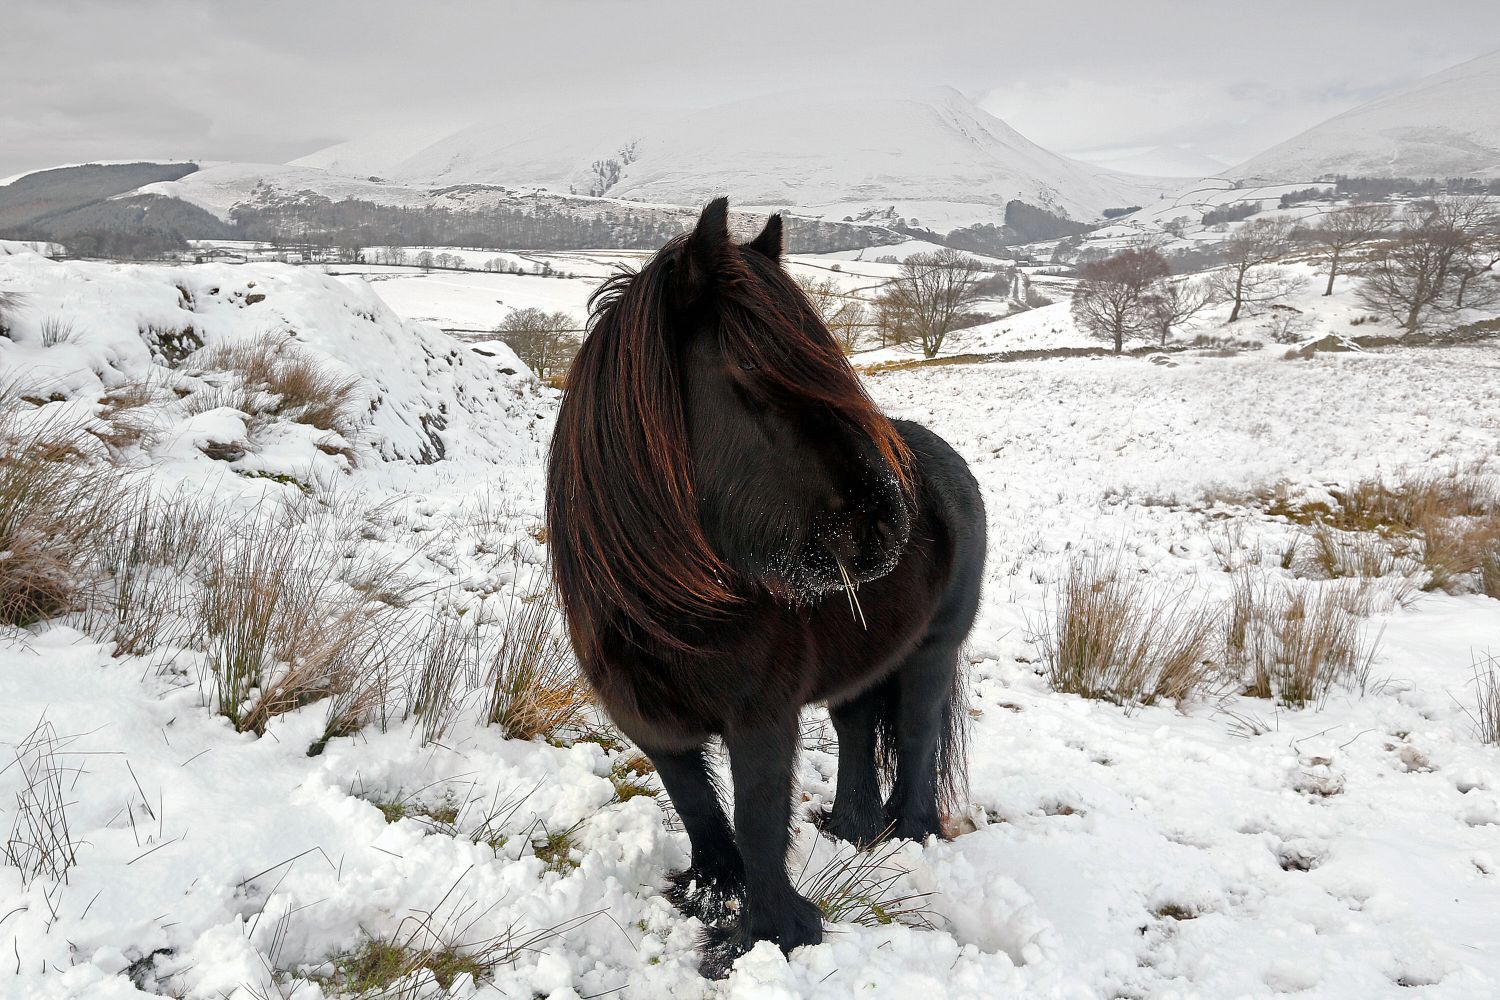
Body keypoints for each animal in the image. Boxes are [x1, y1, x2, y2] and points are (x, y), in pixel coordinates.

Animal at [546, 199, 990, 971]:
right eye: (752, 377)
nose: (891, 524)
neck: (673, 610)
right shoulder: (652, 726)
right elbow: (699, 810)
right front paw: (711, 893)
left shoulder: (761, 721)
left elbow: (756, 822)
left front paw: (770, 935)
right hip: (862, 662)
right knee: (854, 728)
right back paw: (849, 827)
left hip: (932, 652)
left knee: (917, 733)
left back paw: (907, 832)